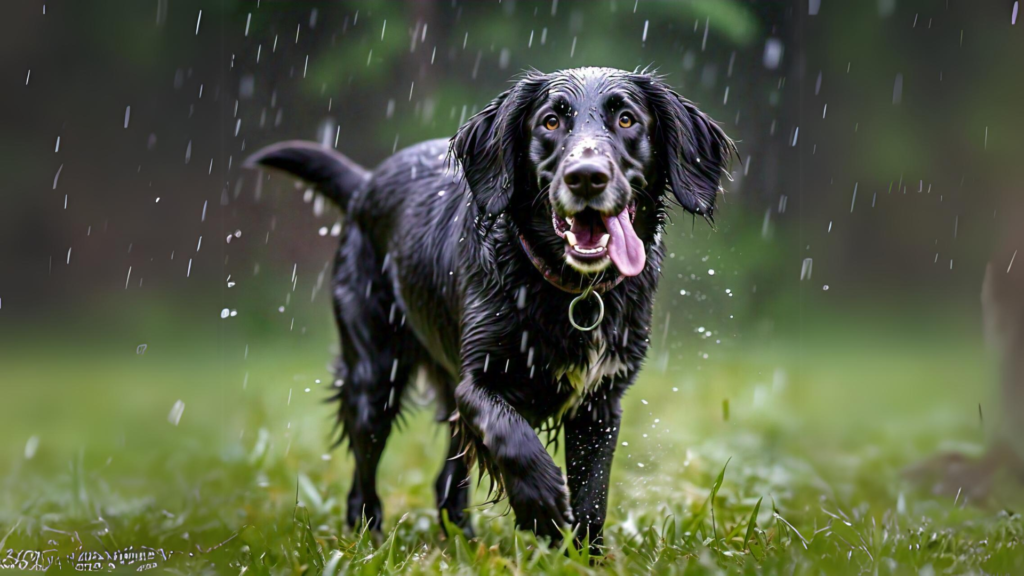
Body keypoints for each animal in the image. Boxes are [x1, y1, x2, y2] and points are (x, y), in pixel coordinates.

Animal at [244, 68, 733, 545]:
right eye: (550, 122)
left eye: (627, 119)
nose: (586, 176)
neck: (568, 289)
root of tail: (366, 185)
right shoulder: (476, 382)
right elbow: (510, 435)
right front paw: (542, 505)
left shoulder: (600, 402)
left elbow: (592, 495)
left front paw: (581, 554)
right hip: (374, 376)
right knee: (364, 474)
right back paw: (370, 538)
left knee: (446, 484)